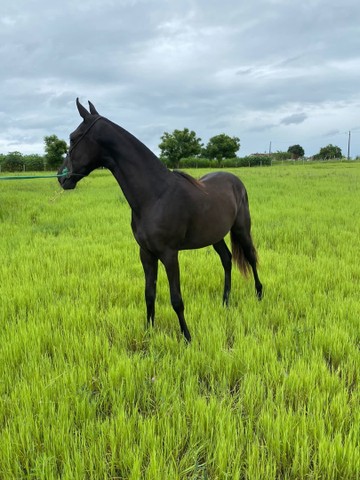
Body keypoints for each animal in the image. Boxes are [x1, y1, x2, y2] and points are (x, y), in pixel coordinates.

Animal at [58, 98, 262, 342]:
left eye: (73, 137)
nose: (62, 177)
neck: (155, 195)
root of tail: (235, 180)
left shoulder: (169, 254)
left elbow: (176, 299)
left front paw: (187, 337)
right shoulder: (146, 253)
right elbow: (149, 293)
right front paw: (148, 332)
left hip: (241, 229)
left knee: (250, 257)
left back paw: (259, 296)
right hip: (215, 236)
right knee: (227, 259)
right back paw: (225, 302)